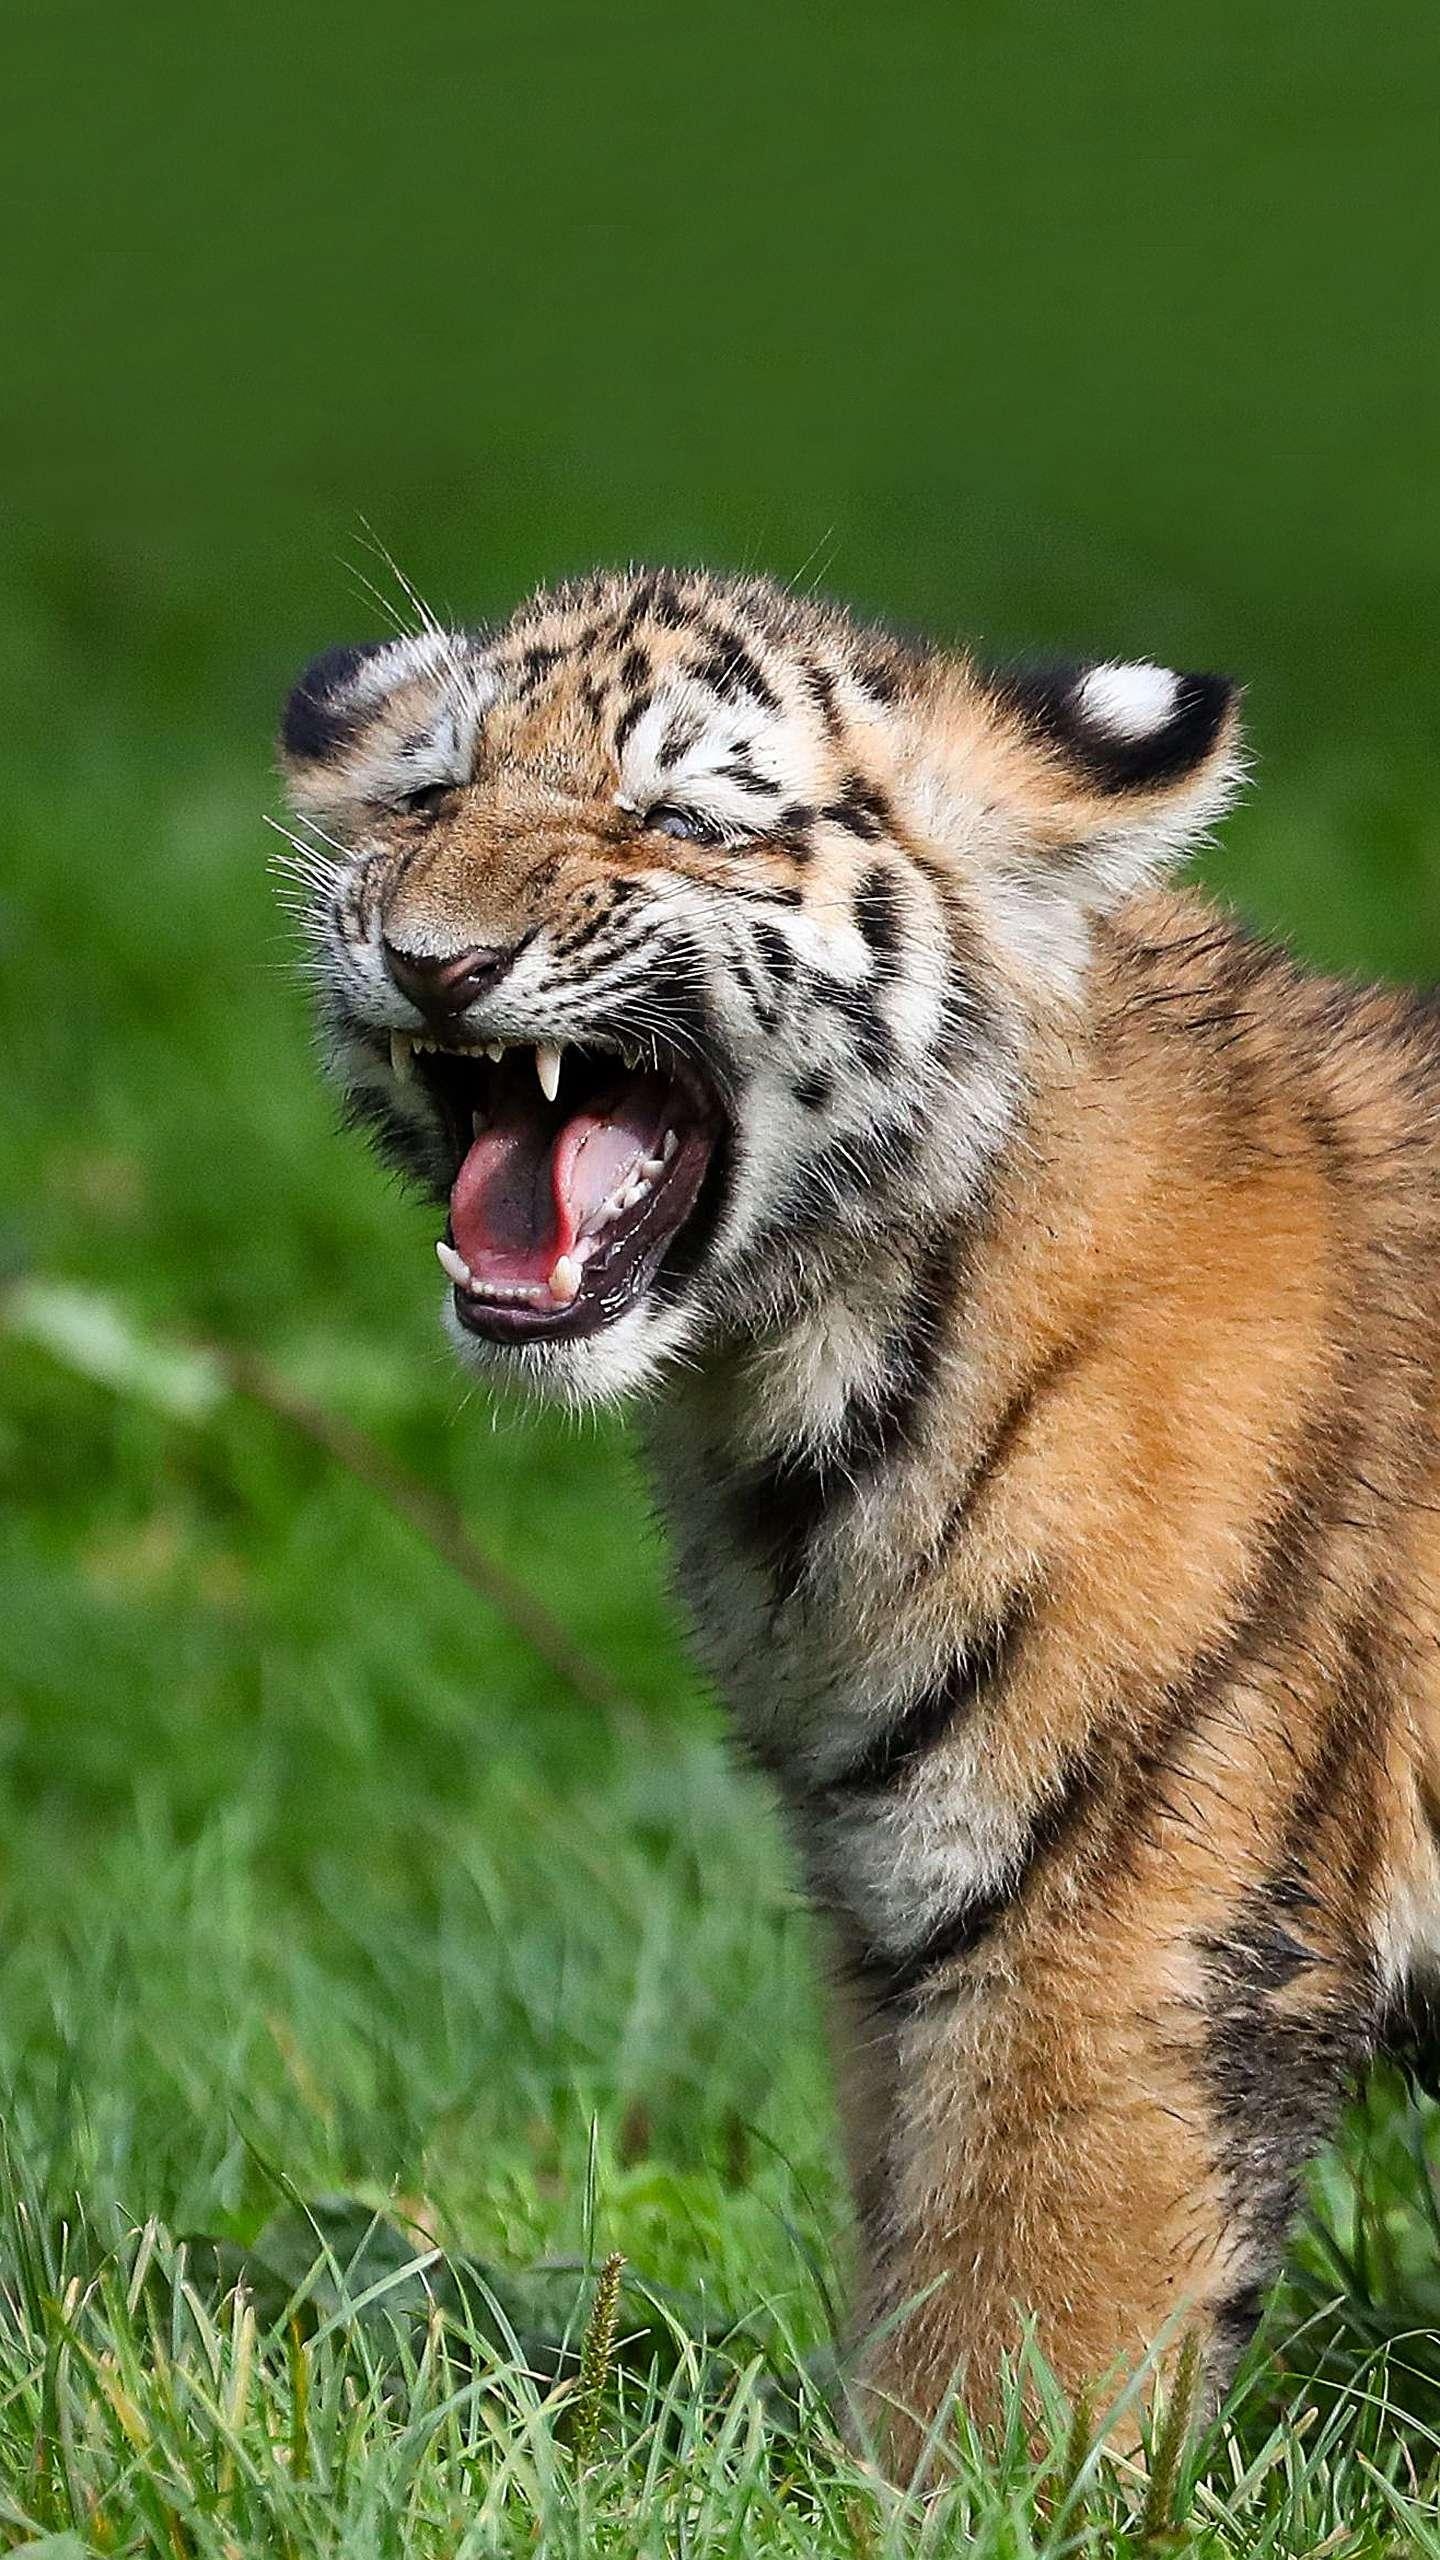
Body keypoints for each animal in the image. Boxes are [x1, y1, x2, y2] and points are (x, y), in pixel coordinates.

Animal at [279, 564, 1440, 2462]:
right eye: (427, 798)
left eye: (681, 819)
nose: (434, 959)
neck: (794, 1380)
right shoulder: (889, 1899)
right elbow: (914, 2250)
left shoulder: (1109, 1914)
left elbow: (1014, 2341)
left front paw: (945, 2494)